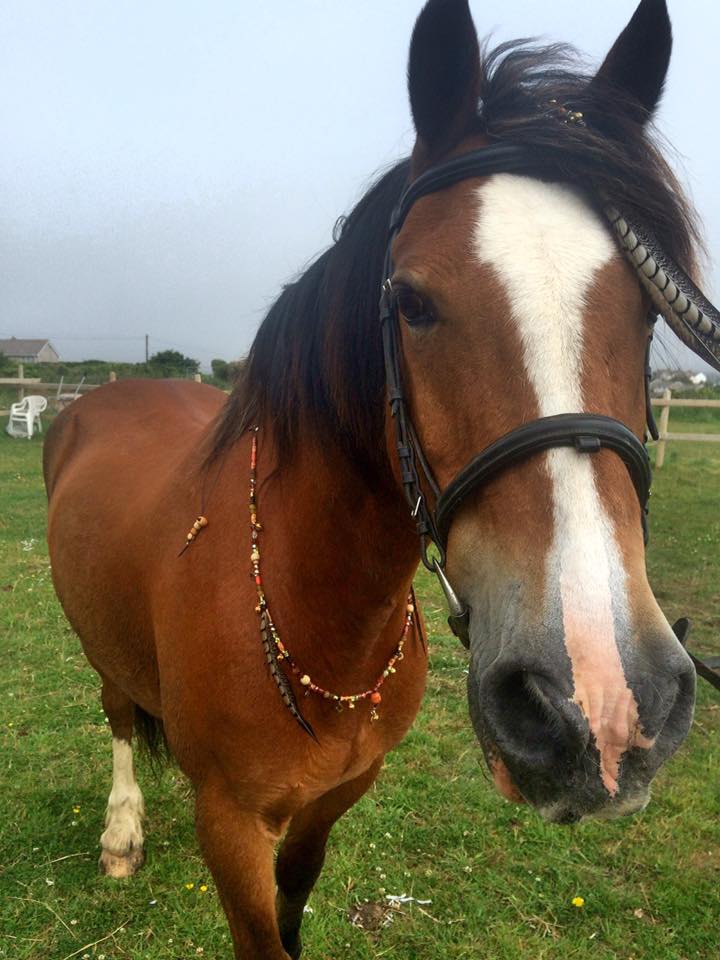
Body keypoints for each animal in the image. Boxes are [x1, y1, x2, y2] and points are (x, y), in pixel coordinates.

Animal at [44, 1, 720, 957]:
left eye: (648, 313)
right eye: (411, 301)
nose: (602, 702)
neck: (313, 611)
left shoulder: (334, 800)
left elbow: (296, 901)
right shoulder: (230, 828)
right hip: (99, 644)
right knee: (114, 716)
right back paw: (121, 832)